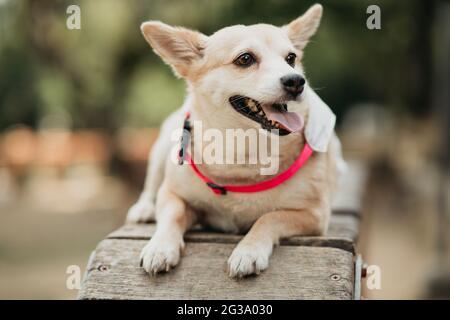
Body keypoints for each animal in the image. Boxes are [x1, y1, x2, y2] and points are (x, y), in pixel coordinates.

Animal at [125, 3, 342, 278]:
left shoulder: (313, 215)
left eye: (291, 59)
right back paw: (144, 208)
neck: (241, 149)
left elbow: (268, 218)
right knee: (151, 183)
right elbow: (172, 214)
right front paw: (160, 247)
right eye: (245, 59)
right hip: (164, 146)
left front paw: (248, 251)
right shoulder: (172, 195)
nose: (296, 80)